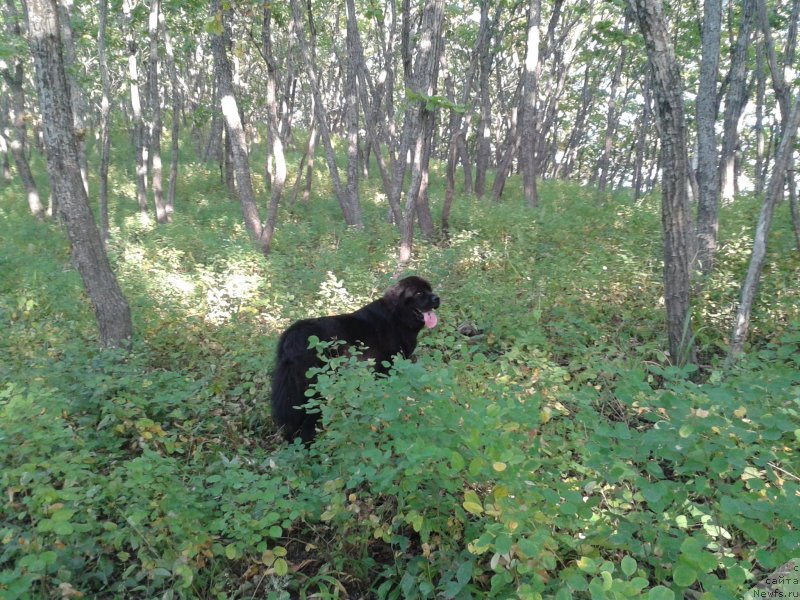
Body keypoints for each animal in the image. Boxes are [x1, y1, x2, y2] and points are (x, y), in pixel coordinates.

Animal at [272, 278, 440, 442]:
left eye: (430, 290)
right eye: (419, 293)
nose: (437, 298)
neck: (397, 316)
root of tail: (292, 336)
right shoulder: (386, 368)